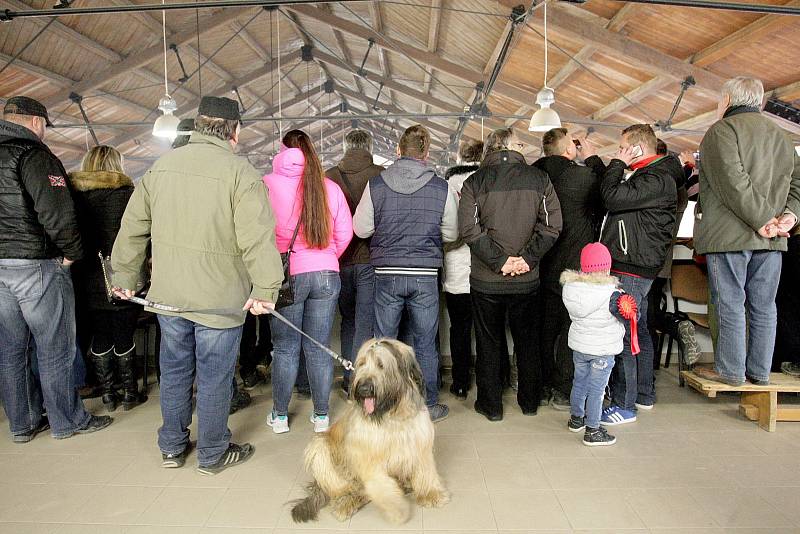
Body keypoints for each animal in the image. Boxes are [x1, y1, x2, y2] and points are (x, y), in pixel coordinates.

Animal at [290, 342, 450, 524]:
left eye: (381, 365)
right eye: (361, 364)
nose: (364, 389)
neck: (390, 415)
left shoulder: (420, 441)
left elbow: (425, 469)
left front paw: (431, 494)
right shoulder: (367, 454)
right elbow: (379, 483)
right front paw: (396, 507)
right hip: (320, 447)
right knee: (342, 487)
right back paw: (347, 500)